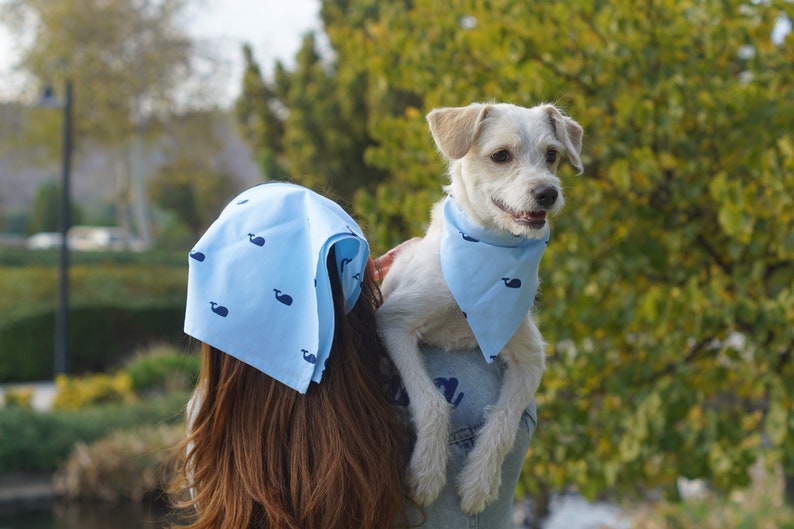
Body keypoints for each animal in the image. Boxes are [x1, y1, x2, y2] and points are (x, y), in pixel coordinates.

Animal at [374, 101, 580, 512]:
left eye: (552, 155)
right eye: (500, 156)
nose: (547, 193)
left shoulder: (531, 357)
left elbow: (505, 421)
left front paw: (479, 483)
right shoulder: (394, 322)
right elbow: (432, 403)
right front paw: (427, 473)